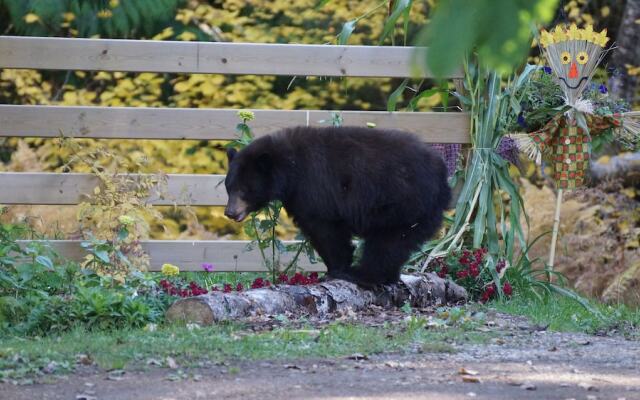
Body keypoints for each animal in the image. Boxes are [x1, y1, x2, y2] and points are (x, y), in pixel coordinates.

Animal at [224, 126, 450, 286]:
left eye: (244, 189)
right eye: (228, 187)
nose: (229, 212)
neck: (289, 167)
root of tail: (442, 175)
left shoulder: (315, 189)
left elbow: (326, 231)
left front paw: (335, 270)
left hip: (402, 204)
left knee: (387, 243)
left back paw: (363, 275)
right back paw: (388, 277)